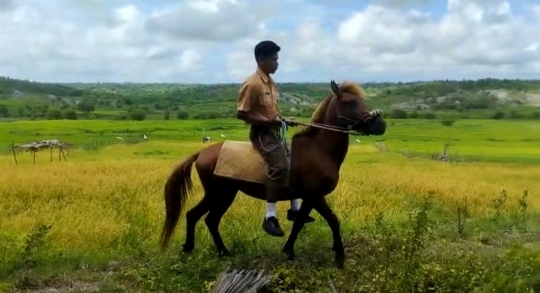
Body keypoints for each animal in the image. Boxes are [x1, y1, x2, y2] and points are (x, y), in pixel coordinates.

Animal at [158, 79, 386, 266]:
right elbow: (332, 220)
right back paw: (208, 250)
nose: (380, 124)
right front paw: (339, 255)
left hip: (223, 194)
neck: (319, 150)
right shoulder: (315, 195)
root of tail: (201, 153)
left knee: (204, 218)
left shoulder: (308, 197)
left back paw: (210, 251)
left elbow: (300, 222)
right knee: (202, 217)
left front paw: (289, 250)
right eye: (350, 103)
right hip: (220, 193)